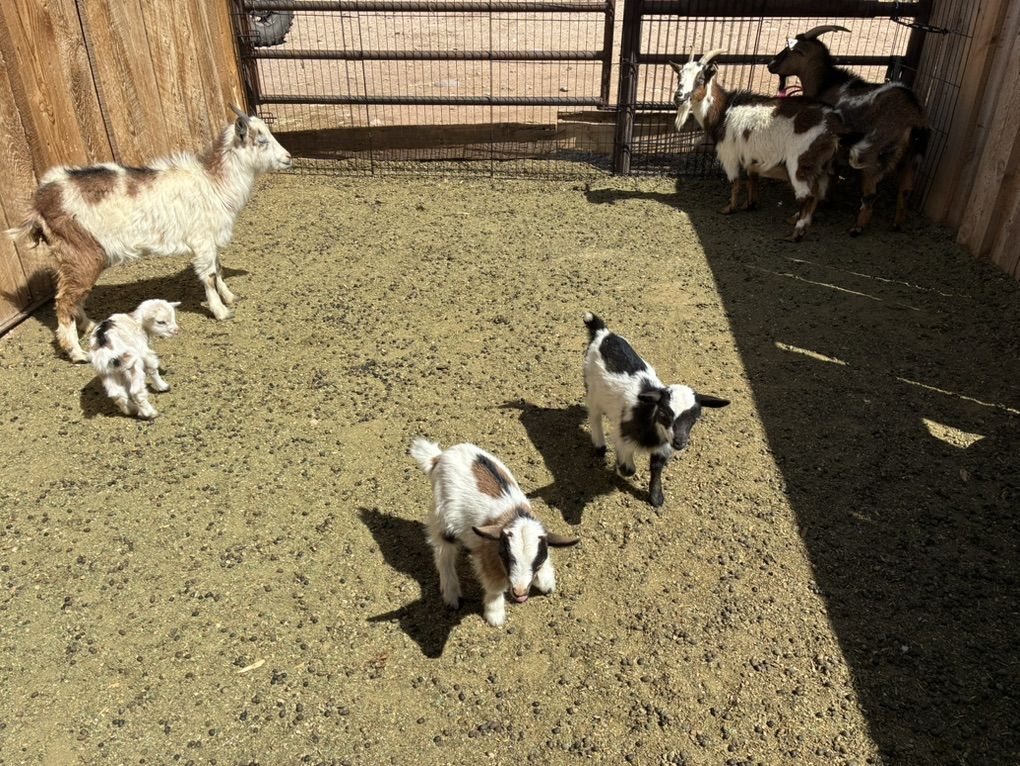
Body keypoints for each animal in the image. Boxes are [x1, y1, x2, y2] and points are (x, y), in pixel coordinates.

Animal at [7, 105, 292, 363]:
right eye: (261, 140)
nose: (288, 158)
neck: (213, 183)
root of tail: (40, 203)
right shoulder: (201, 239)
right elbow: (209, 275)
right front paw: (221, 311)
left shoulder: (209, 239)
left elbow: (218, 269)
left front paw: (231, 297)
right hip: (81, 253)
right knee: (64, 300)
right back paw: (77, 353)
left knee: (74, 296)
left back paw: (89, 326)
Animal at [409, 438, 579, 627]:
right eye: (505, 556)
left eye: (538, 560)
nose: (520, 592)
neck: (515, 514)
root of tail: (438, 457)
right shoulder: (488, 552)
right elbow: (494, 586)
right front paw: (495, 615)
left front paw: (546, 582)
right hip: (442, 518)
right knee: (443, 552)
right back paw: (452, 596)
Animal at [583, 313, 729, 508]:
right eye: (663, 413)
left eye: (695, 418)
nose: (680, 442)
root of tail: (603, 333)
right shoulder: (623, 435)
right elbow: (629, 469)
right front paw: (621, 466)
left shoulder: (664, 446)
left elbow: (656, 467)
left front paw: (656, 497)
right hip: (592, 387)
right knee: (594, 414)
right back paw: (599, 446)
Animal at [671, 50, 844, 242]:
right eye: (679, 76)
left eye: (700, 78)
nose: (679, 96)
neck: (723, 111)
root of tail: (832, 124)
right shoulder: (750, 156)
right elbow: (752, 179)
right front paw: (750, 204)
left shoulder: (729, 154)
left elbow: (735, 182)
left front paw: (729, 208)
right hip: (821, 167)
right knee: (817, 194)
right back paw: (797, 220)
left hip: (799, 163)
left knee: (808, 197)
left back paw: (795, 233)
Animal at [767, 26, 929, 235]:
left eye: (789, 51)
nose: (770, 64)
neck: (826, 84)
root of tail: (913, 116)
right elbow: (834, 175)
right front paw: (829, 200)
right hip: (911, 160)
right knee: (905, 191)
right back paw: (896, 224)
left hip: (872, 157)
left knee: (870, 195)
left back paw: (857, 228)